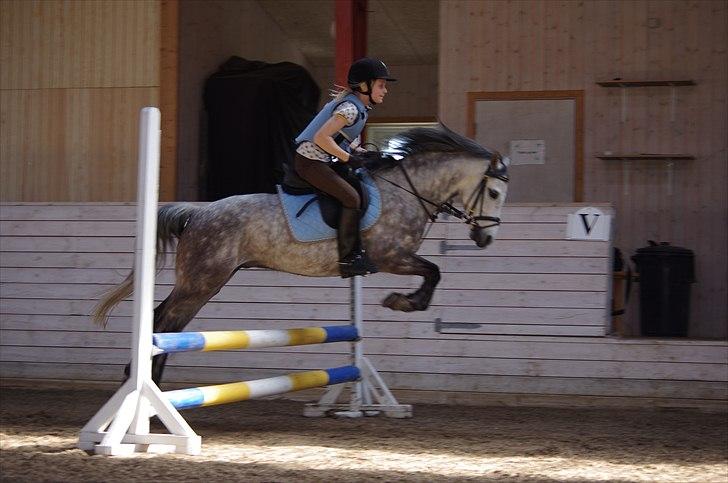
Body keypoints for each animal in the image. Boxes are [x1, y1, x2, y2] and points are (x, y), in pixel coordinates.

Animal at [94, 125, 510, 386]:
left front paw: (405, 301)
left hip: (204, 282)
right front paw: (402, 301)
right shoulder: (392, 256)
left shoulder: (397, 258)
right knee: (164, 321)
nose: (486, 238)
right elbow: (434, 271)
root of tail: (197, 213)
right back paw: (144, 382)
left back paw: (150, 382)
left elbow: (434, 272)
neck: (406, 190)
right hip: (201, 282)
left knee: (166, 322)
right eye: (493, 193)